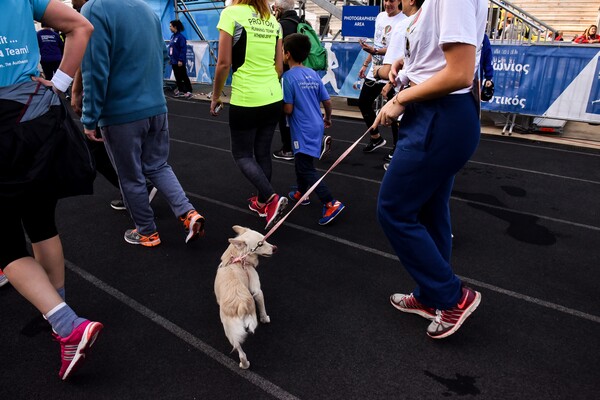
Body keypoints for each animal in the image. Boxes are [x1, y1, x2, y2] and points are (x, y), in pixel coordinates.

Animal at [214, 225, 276, 368]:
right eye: (260, 244)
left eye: (265, 239)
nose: (275, 248)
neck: (238, 258)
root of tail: (240, 304)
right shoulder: (257, 291)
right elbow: (262, 307)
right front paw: (265, 319)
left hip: (230, 331)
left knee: (239, 350)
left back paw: (244, 364)